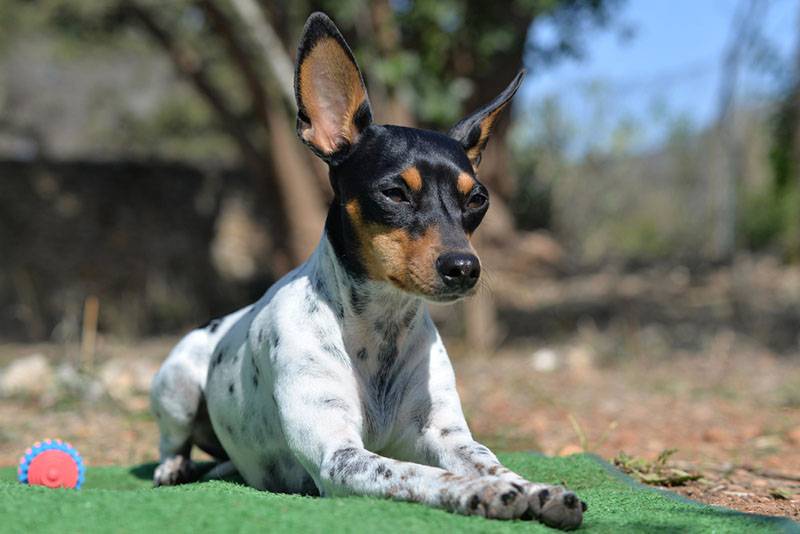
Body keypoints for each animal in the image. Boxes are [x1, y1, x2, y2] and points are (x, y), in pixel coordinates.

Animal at [150, 11, 584, 532]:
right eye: (395, 192)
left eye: (478, 198)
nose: (464, 268)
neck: (379, 333)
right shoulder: (339, 457)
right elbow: (421, 475)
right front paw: (481, 491)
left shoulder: (445, 435)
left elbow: (489, 460)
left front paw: (537, 489)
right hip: (176, 385)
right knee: (171, 442)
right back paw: (172, 467)